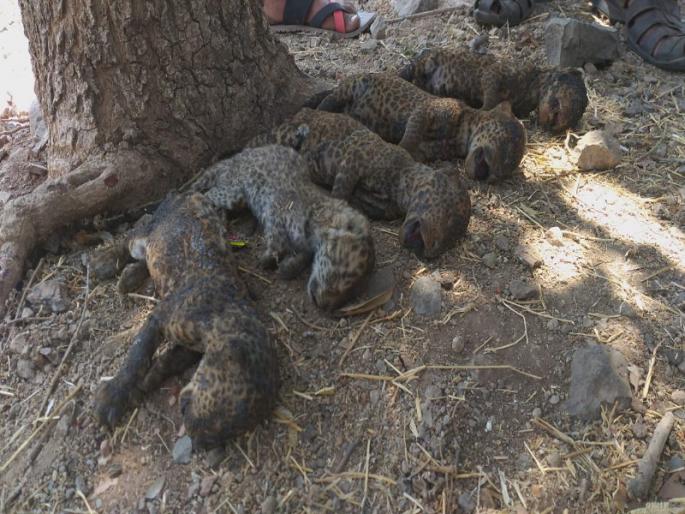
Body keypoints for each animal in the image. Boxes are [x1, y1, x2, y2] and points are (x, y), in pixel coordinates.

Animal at [94, 193, 280, 449]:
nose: (196, 439)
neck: (226, 313)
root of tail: (187, 193)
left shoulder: (190, 349)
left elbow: (169, 361)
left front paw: (149, 380)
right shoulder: (159, 319)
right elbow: (136, 358)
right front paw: (113, 396)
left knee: (145, 260)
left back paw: (129, 276)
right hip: (149, 229)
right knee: (129, 239)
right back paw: (105, 261)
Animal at [192, 144, 375, 312]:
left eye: (351, 294)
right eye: (341, 276)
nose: (325, 307)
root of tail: (239, 155)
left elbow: (302, 254)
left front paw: (289, 266)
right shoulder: (276, 210)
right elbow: (278, 242)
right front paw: (268, 260)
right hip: (234, 193)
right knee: (205, 194)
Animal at [249, 108, 471, 259]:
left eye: (453, 238)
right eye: (449, 216)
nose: (432, 250)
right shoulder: (352, 161)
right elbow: (340, 193)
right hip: (282, 134)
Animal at [316, 73, 527, 182]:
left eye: (509, 168)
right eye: (507, 143)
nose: (493, 176)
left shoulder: (424, 152)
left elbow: (413, 151)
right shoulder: (424, 112)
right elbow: (409, 137)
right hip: (350, 88)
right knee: (326, 101)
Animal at [398, 47, 589, 133]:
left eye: (584, 106)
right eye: (578, 97)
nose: (567, 124)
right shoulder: (493, 74)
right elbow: (489, 100)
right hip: (425, 62)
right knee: (410, 72)